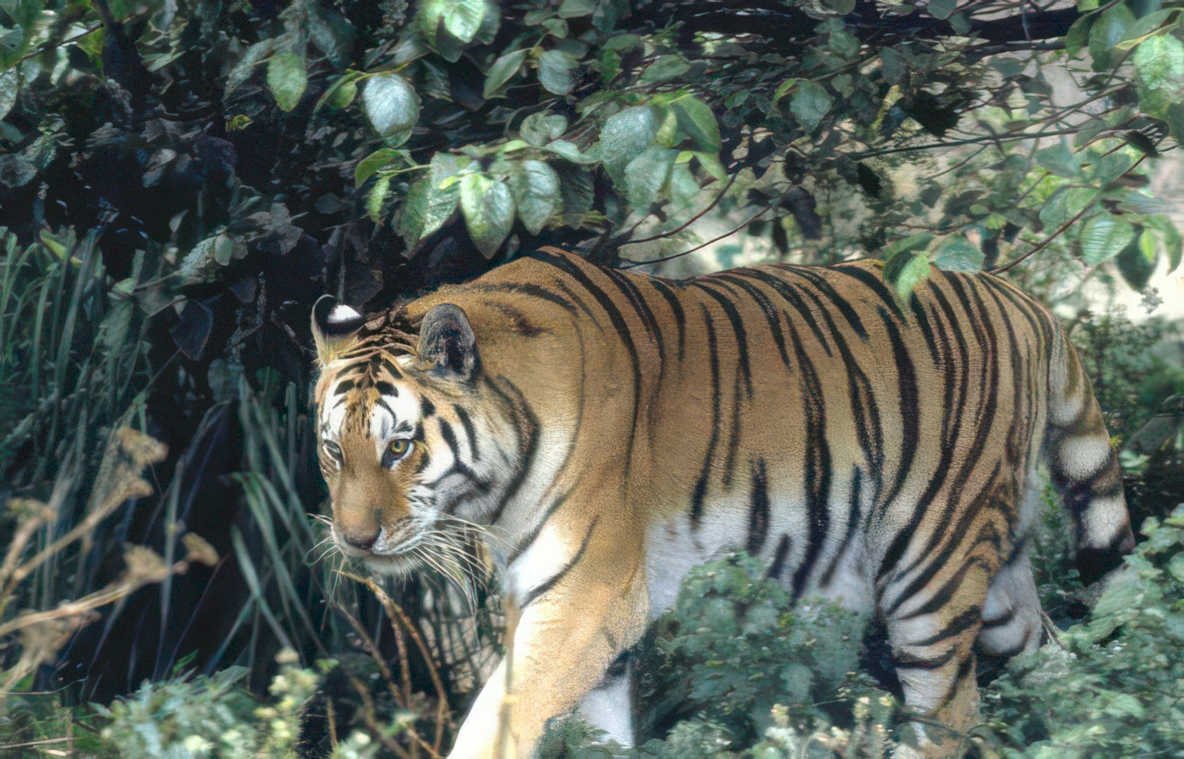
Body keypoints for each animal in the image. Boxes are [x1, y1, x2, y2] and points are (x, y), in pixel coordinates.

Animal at [310, 246, 1134, 757]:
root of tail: (1023, 300)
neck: (494, 492)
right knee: (1054, 661)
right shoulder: (579, 621)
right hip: (996, 588)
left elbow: (498, 722)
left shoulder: (586, 597)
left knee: (950, 714)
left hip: (927, 565)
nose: (354, 540)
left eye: (398, 447)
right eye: (333, 450)